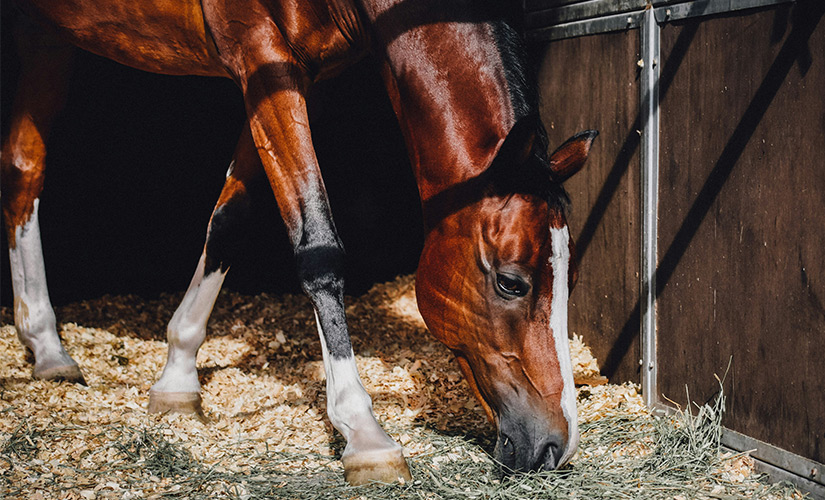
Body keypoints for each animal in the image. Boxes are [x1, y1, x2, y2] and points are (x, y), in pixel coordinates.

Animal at [0, 0, 596, 486]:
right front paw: (363, 432)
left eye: (570, 279)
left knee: (22, 169)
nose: (556, 445)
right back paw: (46, 340)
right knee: (26, 173)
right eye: (511, 282)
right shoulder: (262, 56)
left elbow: (230, 219)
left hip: (43, 32)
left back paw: (46, 346)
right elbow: (318, 246)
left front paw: (178, 374)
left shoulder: (284, 75)